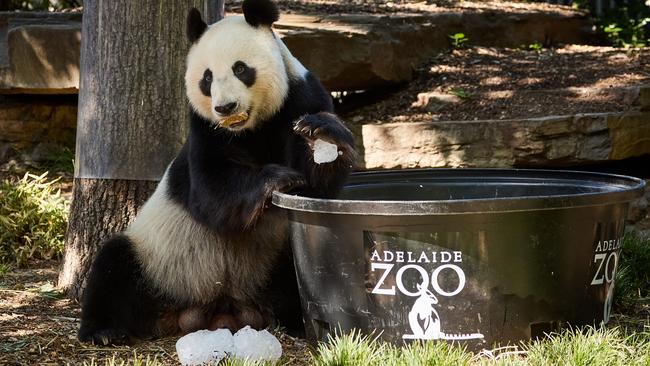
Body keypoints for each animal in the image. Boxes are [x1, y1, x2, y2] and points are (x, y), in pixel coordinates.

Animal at [81, 0, 356, 344]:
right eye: (207, 78)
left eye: (241, 69)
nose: (226, 107)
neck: (251, 127)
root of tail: (220, 309)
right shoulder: (204, 127)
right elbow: (211, 190)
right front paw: (278, 177)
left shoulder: (300, 96)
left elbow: (317, 190)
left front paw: (323, 134)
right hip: (157, 261)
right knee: (113, 266)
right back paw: (104, 330)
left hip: (273, 258)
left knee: (297, 272)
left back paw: (292, 319)